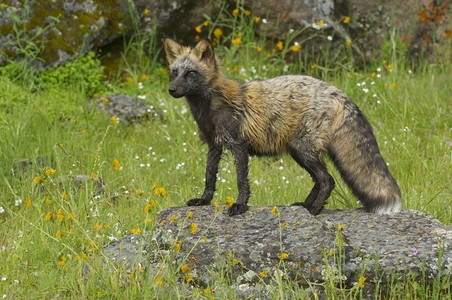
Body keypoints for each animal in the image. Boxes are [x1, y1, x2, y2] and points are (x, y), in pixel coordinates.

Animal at [163, 37, 402, 216]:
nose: (171, 90)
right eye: (175, 72)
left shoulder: (239, 145)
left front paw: (240, 206)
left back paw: (314, 211)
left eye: (191, 73)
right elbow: (209, 177)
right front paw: (203, 201)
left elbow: (241, 181)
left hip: (303, 150)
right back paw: (305, 206)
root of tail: (336, 92)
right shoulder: (214, 145)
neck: (211, 108)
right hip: (299, 152)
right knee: (320, 181)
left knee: (328, 180)